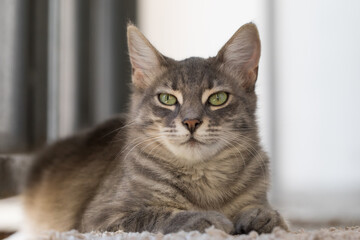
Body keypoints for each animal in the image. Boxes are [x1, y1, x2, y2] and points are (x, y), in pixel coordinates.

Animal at [0, 23, 288, 236]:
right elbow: (158, 214)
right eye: (167, 99)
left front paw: (260, 216)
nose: (191, 122)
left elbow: (274, 215)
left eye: (218, 98)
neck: (205, 178)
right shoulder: (101, 218)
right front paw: (208, 218)